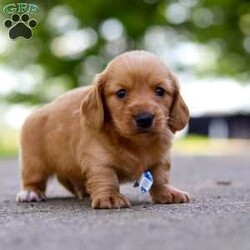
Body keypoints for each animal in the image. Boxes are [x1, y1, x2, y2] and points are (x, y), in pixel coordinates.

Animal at [16, 49, 190, 208]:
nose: (144, 119)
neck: (136, 143)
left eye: (160, 90)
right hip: (33, 161)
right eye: (121, 93)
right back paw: (30, 193)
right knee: (33, 179)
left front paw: (167, 192)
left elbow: (160, 176)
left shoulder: (161, 158)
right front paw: (110, 196)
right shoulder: (98, 158)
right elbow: (106, 177)